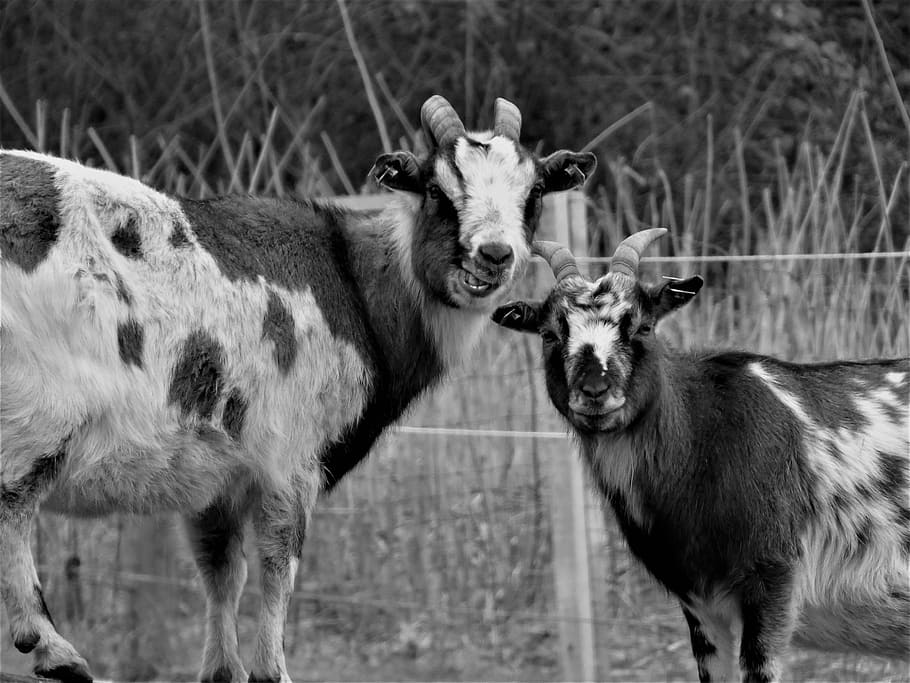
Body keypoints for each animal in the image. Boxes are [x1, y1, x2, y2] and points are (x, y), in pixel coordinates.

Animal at [0, 95, 596, 683]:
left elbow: (221, 569)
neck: (355, 284)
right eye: (435, 189)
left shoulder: (216, 474)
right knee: (12, 503)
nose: (493, 255)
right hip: (36, 412)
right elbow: (276, 564)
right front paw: (272, 669)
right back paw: (52, 647)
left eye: (535, 192)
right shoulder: (292, 458)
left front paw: (222, 668)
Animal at [492, 230, 909, 682]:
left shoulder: (772, 579)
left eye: (643, 326)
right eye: (550, 334)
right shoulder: (700, 603)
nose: (595, 392)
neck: (704, 438)